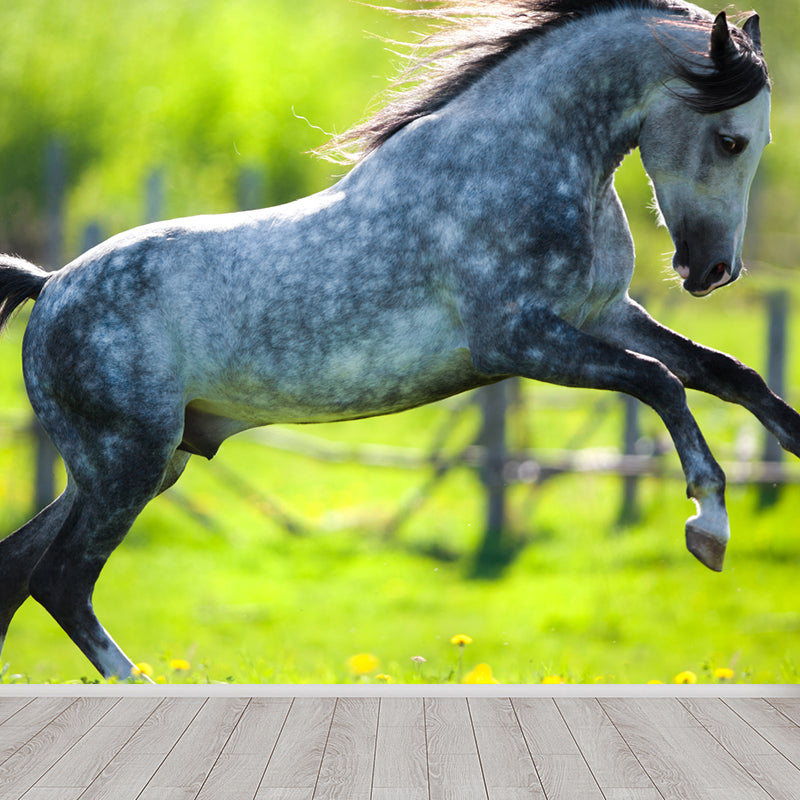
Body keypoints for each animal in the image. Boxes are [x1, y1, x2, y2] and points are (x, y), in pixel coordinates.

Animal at [0, 0, 792, 680]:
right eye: (730, 140)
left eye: (760, 142)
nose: (712, 272)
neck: (522, 162)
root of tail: (51, 285)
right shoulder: (521, 340)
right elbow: (661, 381)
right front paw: (709, 527)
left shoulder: (605, 316)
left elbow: (731, 374)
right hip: (127, 463)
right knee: (60, 581)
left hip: (137, 466)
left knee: (19, 570)